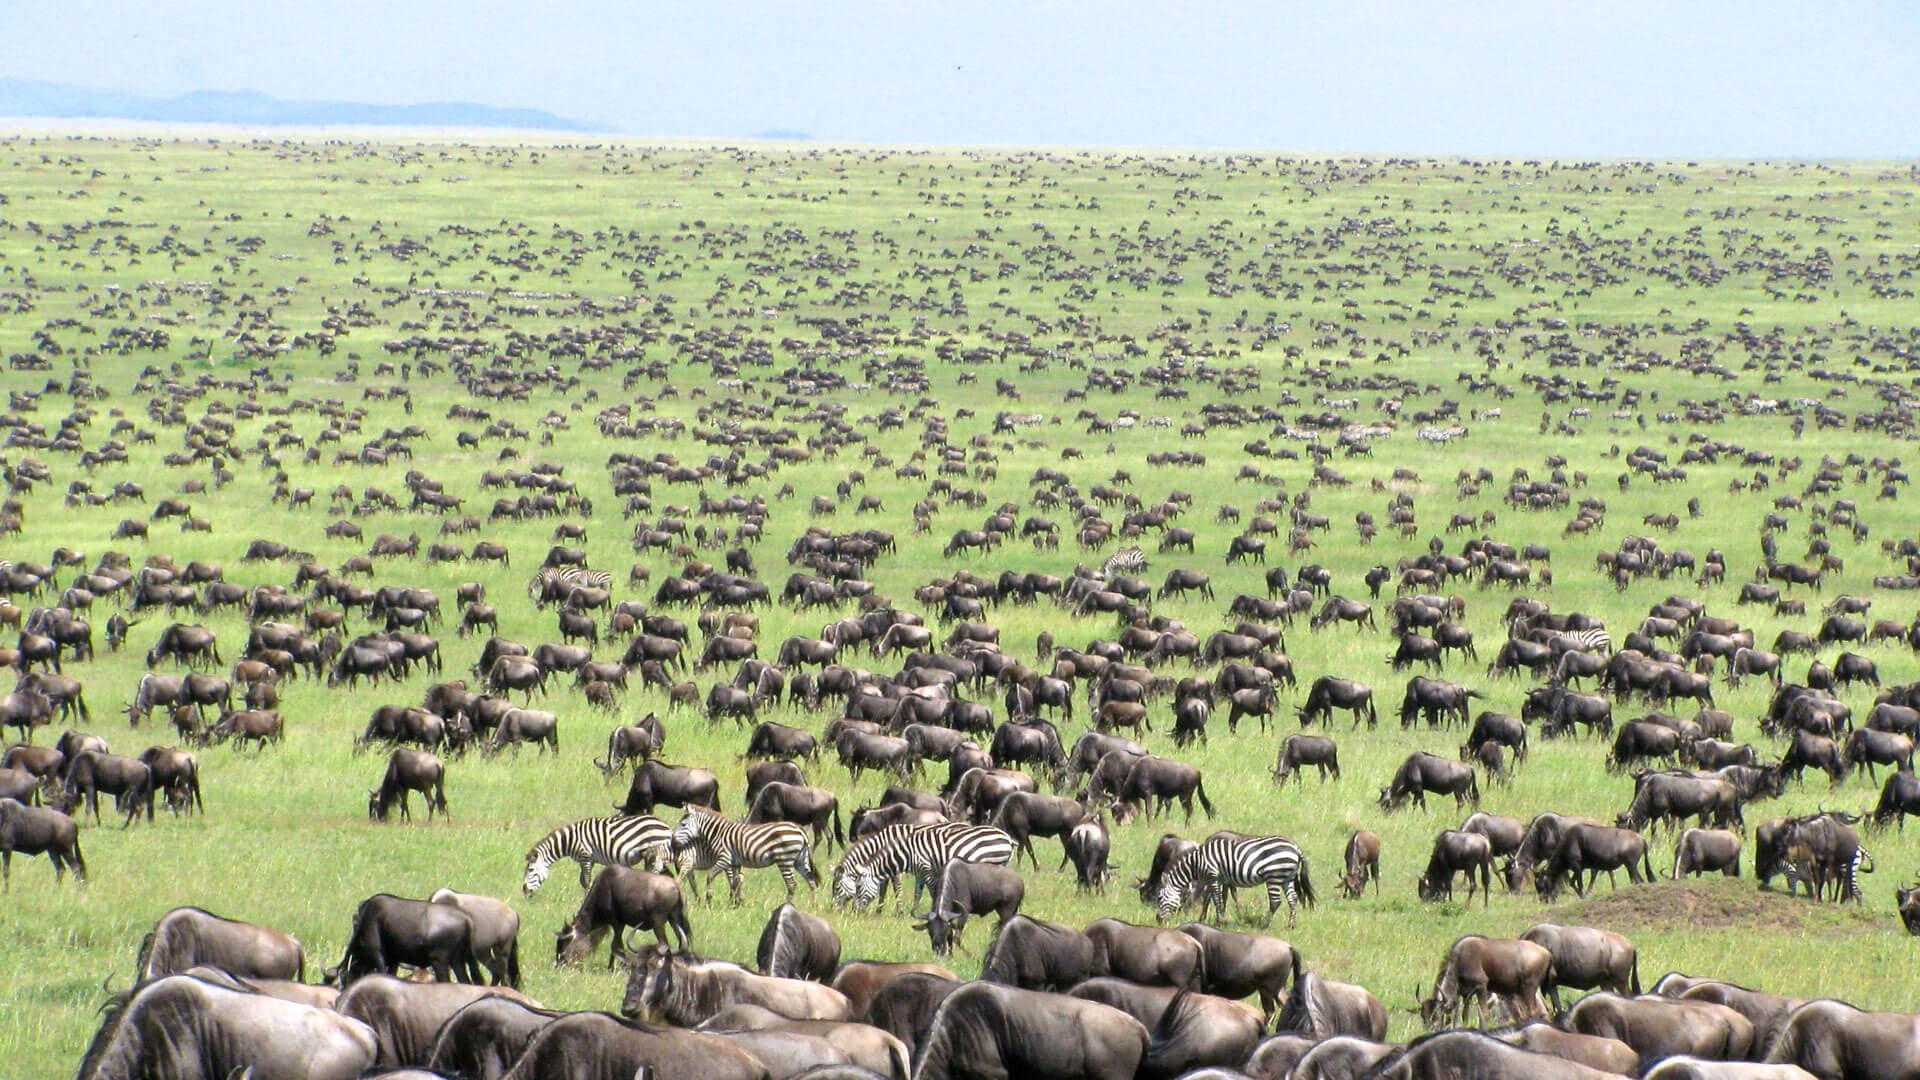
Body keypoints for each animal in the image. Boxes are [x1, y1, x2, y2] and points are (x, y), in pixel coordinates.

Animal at [526, 807, 675, 891]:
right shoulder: (589, 860)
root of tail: (666, 827)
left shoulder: (585, 856)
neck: (569, 840)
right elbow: (583, 881)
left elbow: (587, 882)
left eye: (530, 870)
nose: (524, 890)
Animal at [672, 803, 814, 903]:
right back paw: (813, 905)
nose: (673, 841)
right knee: (811, 881)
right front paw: (734, 903)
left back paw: (787, 905)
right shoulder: (735, 863)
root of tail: (800, 830)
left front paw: (709, 899)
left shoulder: (724, 859)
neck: (718, 833)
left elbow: (710, 877)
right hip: (800, 860)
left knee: (792, 884)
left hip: (784, 859)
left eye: (683, 824)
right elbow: (735, 882)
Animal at [837, 818, 1021, 910]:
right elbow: (917, 892)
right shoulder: (919, 870)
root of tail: (1007, 837)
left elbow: (900, 889)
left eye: (836, 887)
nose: (853, 910)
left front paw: (898, 911)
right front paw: (910, 912)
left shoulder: (922, 868)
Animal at [1159, 826, 1313, 922]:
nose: (1158, 920)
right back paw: (1291, 925)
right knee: (1293, 899)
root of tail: (1295, 848)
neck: (1197, 863)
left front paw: (1220, 920)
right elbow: (1211, 898)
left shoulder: (1213, 876)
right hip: (1288, 877)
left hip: (1274, 877)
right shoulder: (1217, 879)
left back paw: (1264, 923)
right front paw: (1205, 918)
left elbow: (1216, 899)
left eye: (1159, 898)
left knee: (1275, 902)